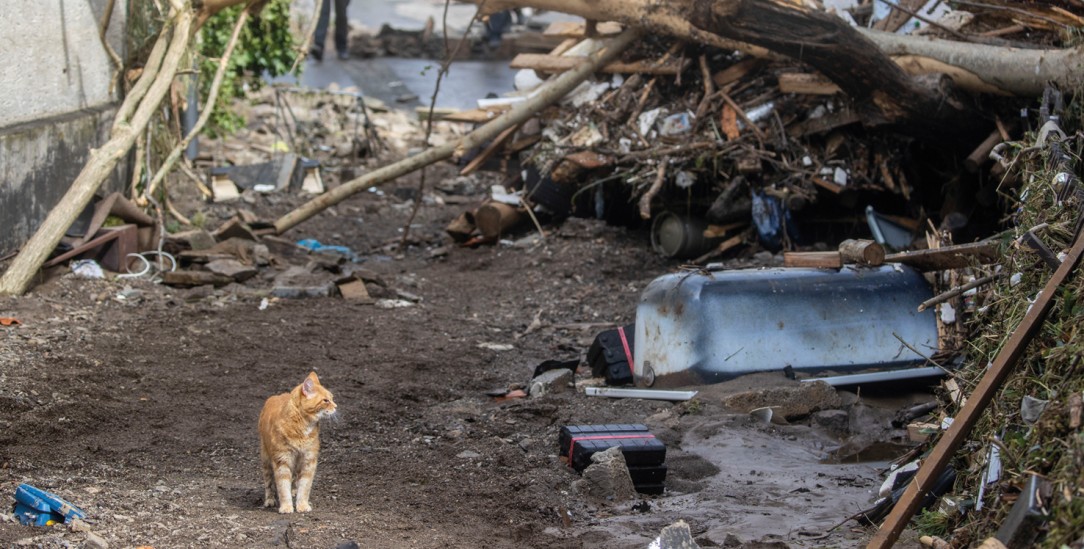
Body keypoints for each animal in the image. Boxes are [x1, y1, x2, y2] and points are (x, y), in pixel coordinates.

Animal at [256, 371, 333, 512]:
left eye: (332, 398)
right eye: (326, 400)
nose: (336, 406)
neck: (302, 427)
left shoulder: (309, 460)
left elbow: (305, 487)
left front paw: (302, 505)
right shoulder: (282, 460)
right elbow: (282, 487)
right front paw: (286, 507)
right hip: (266, 460)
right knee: (269, 482)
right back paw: (270, 500)